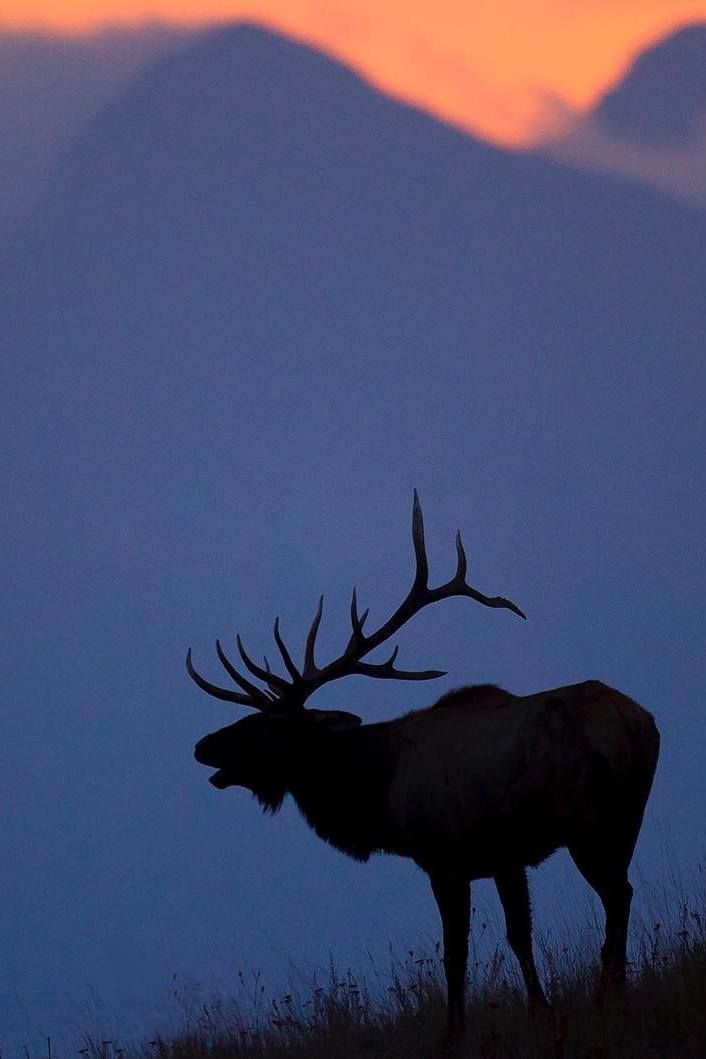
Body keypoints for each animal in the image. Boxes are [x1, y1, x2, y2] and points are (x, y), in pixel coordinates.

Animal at [189, 493, 664, 1025]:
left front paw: (460, 1028)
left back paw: (608, 992)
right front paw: (538, 1009)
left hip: (588, 821)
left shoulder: (447, 856)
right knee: (623, 892)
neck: (379, 796)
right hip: (630, 815)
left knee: (616, 895)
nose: (203, 746)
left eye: (270, 727)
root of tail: (635, 720)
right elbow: (518, 937)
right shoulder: (504, 858)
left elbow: (458, 953)